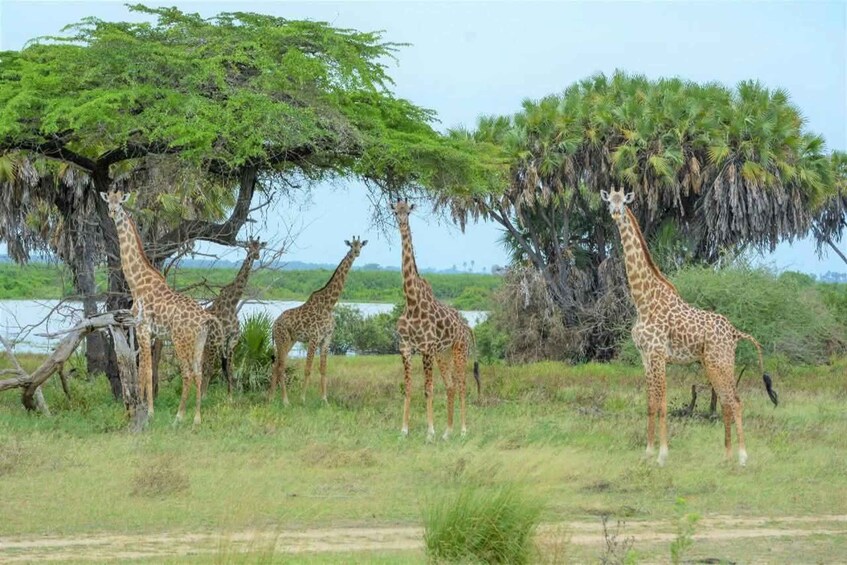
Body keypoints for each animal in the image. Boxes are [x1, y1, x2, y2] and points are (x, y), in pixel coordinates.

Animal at [100, 191, 224, 425]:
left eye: (120, 202)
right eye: (108, 201)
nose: (111, 212)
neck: (136, 282)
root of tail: (205, 317)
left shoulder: (142, 327)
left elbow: (147, 370)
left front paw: (148, 411)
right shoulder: (147, 331)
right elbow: (141, 369)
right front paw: (138, 407)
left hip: (180, 339)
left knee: (187, 373)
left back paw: (178, 416)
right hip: (199, 341)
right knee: (198, 371)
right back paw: (197, 418)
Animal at [202, 238, 264, 396]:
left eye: (260, 247)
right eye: (249, 246)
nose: (256, 256)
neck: (232, 304)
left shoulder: (231, 340)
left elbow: (229, 370)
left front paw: (230, 397)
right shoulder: (216, 340)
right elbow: (210, 370)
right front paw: (204, 396)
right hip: (206, 344)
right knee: (202, 367)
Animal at [269, 237, 367, 405]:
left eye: (361, 245)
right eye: (351, 245)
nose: (356, 252)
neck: (329, 305)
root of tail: (274, 324)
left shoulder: (326, 340)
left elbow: (323, 369)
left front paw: (325, 399)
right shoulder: (314, 338)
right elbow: (308, 369)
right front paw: (302, 399)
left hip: (290, 341)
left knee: (276, 365)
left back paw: (271, 398)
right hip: (283, 339)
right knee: (281, 366)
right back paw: (285, 401)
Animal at [392, 199, 480, 441]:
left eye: (408, 211)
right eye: (395, 211)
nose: (401, 223)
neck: (412, 302)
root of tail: (467, 327)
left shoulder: (426, 348)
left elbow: (428, 389)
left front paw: (429, 432)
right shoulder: (405, 348)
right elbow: (409, 387)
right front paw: (404, 430)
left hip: (459, 350)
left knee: (461, 384)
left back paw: (462, 430)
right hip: (444, 353)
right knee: (450, 385)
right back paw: (447, 432)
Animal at [600, 187, 778, 466]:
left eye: (623, 202)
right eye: (609, 202)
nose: (616, 213)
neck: (642, 299)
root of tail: (735, 333)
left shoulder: (658, 354)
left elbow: (662, 404)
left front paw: (662, 455)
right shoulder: (645, 356)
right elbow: (650, 403)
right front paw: (647, 452)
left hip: (721, 361)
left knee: (736, 401)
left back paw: (742, 457)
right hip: (712, 363)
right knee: (726, 402)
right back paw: (726, 456)